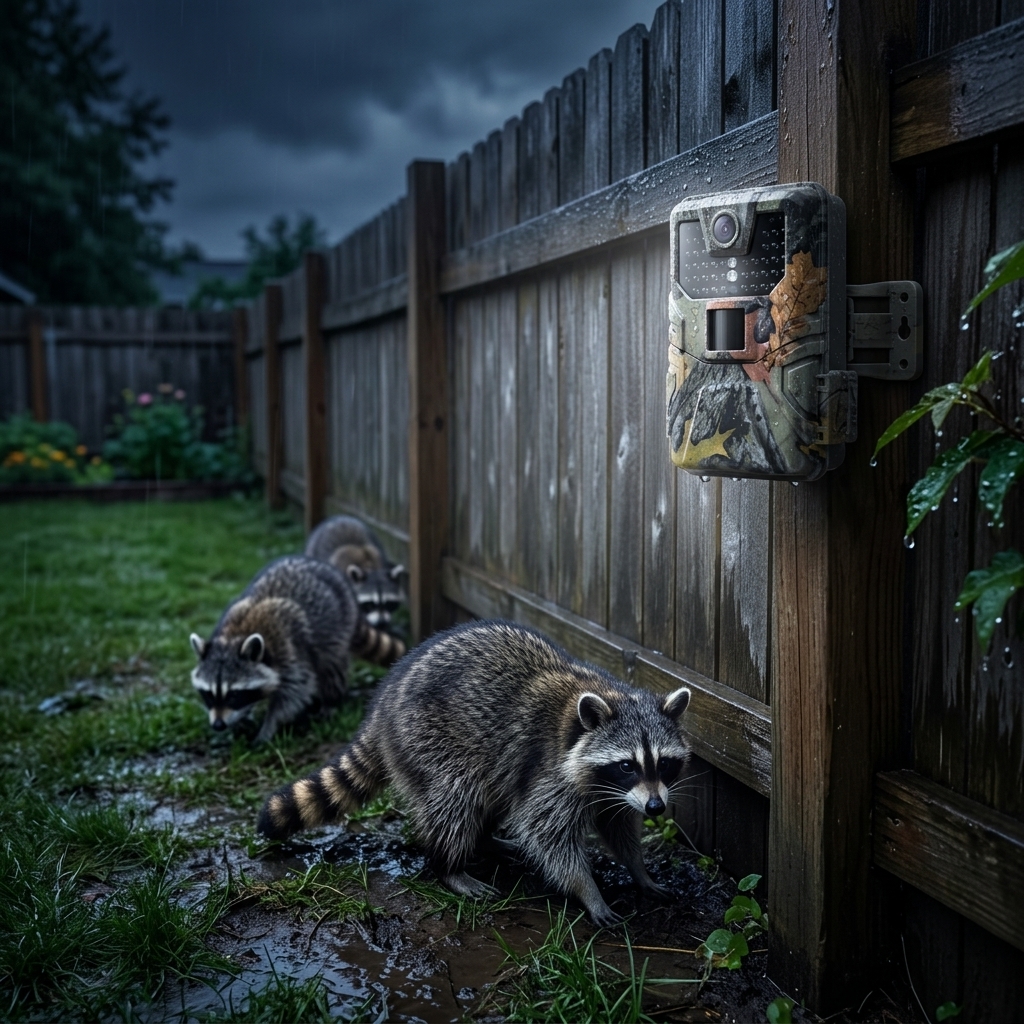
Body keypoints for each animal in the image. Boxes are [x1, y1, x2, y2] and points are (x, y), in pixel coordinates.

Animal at [190, 556, 365, 743]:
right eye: (208, 695)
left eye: (234, 695)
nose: (218, 725)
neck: (235, 636)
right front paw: (240, 719)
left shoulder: (290, 650)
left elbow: (295, 692)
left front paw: (269, 726)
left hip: (340, 624)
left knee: (331, 665)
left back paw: (331, 700)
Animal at [258, 620, 691, 926]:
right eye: (627, 764)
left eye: (664, 764)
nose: (656, 807)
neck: (613, 694)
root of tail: (383, 704)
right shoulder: (551, 771)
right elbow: (547, 833)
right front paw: (587, 890)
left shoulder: (613, 790)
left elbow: (618, 826)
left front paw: (638, 870)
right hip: (428, 738)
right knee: (457, 795)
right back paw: (448, 866)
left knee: (493, 792)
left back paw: (485, 840)